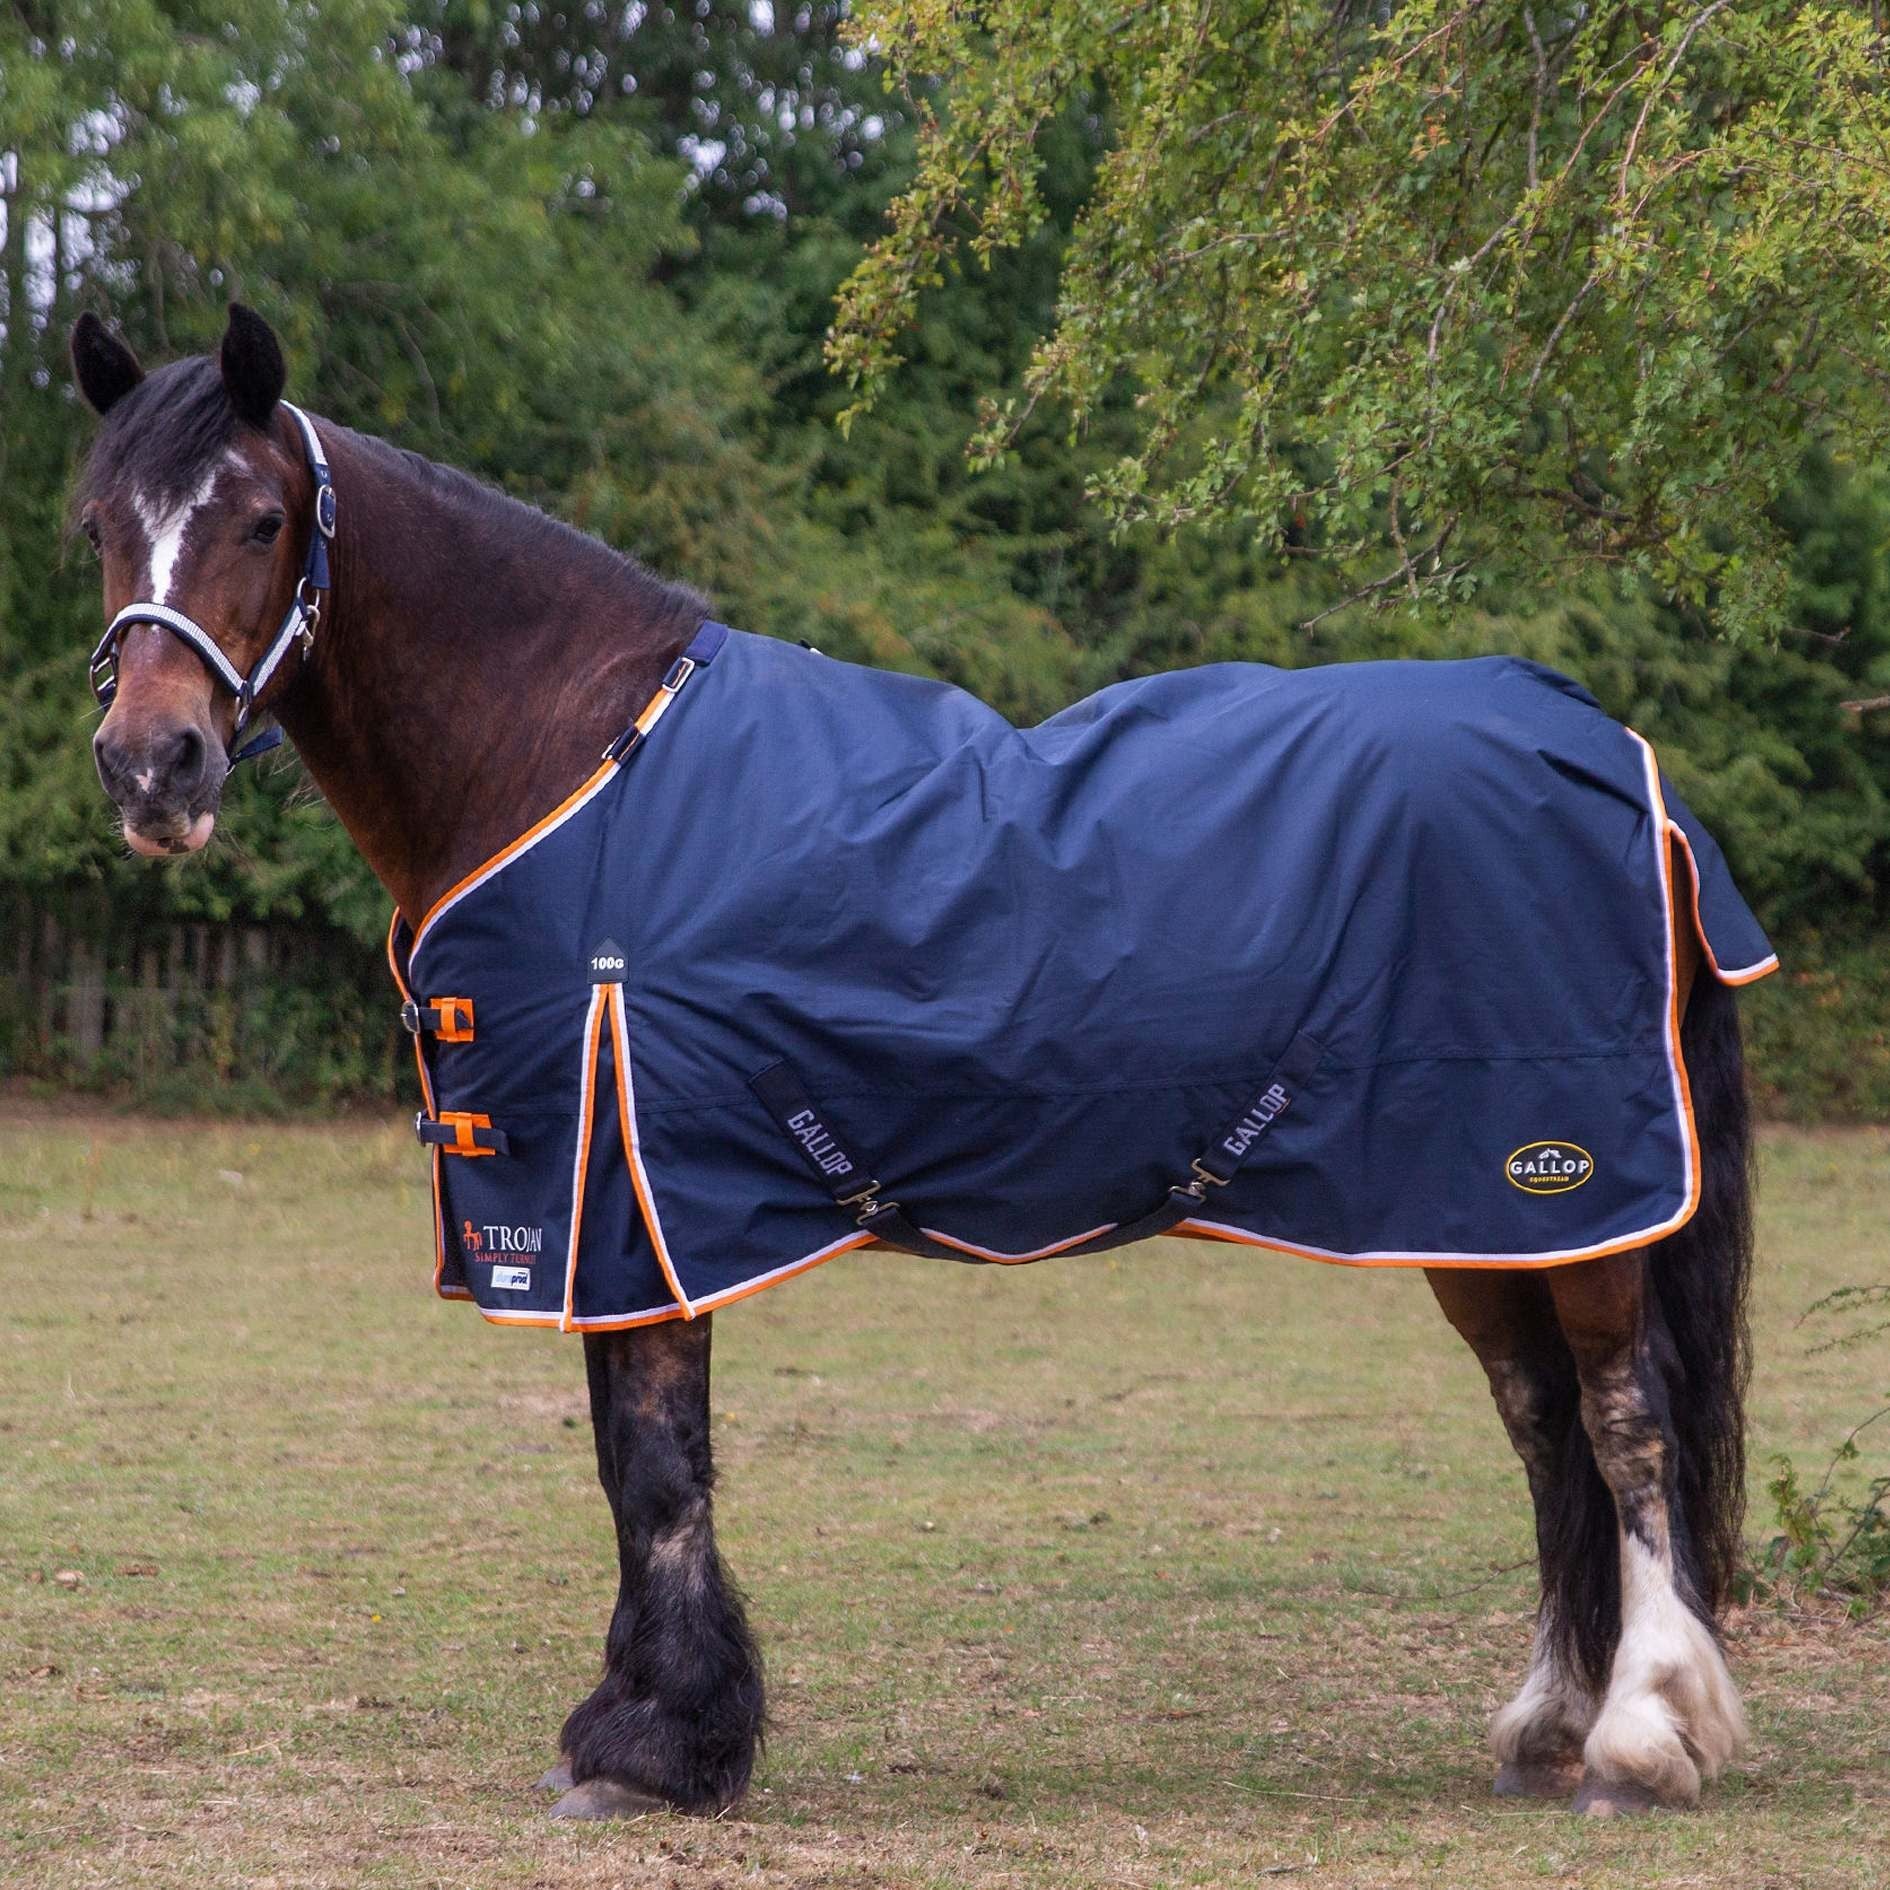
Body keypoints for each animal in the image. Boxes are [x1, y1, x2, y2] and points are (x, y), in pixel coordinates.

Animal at [68, 302, 1767, 1822]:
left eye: (262, 518)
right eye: (98, 523)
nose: (155, 766)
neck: (569, 761)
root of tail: (1611, 754)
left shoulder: (624, 1202)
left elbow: (652, 1470)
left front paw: (649, 1748)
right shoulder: (624, 1213)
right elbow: (638, 1462)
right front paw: (659, 1730)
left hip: (1563, 1182)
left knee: (1624, 1419)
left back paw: (1635, 1739)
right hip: (1469, 1208)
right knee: (1542, 1427)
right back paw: (1544, 1724)